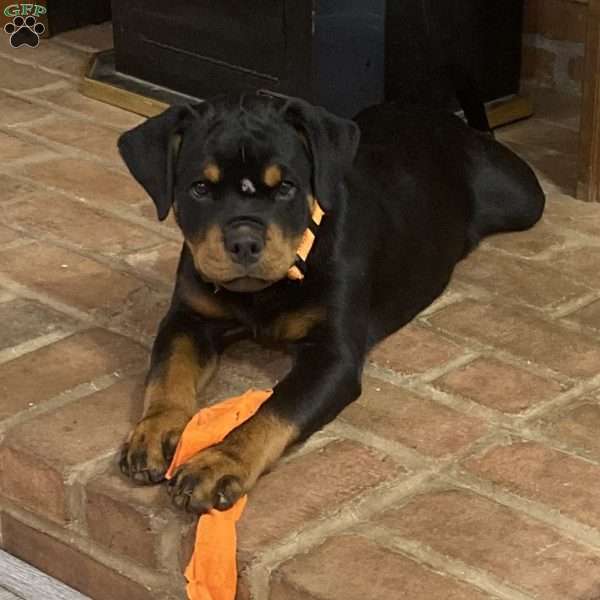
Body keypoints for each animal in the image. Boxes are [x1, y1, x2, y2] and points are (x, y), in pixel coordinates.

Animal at [117, 91, 544, 512]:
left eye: (286, 187)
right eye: (200, 189)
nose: (244, 242)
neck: (265, 290)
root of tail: (440, 115)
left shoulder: (332, 355)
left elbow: (276, 408)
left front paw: (220, 463)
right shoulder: (188, 318)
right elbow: (168, 372)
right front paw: (154, 431)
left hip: (522, 198)